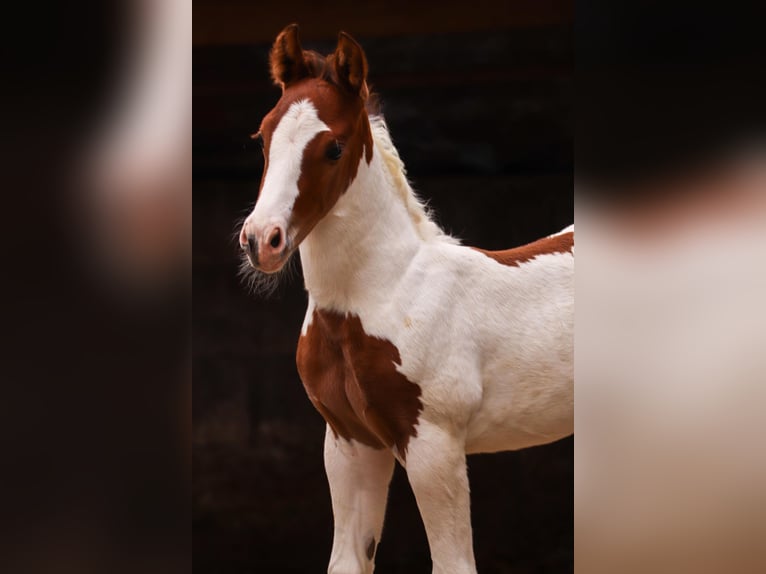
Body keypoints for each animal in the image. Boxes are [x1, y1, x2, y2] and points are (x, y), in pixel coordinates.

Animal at [238, 24, 573, 574]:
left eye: (334, 147)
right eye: (263, 137)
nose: (261, 240)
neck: (387, 293)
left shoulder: (434, 443)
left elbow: (454, 563)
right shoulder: (351, 442)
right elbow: (347, 561)